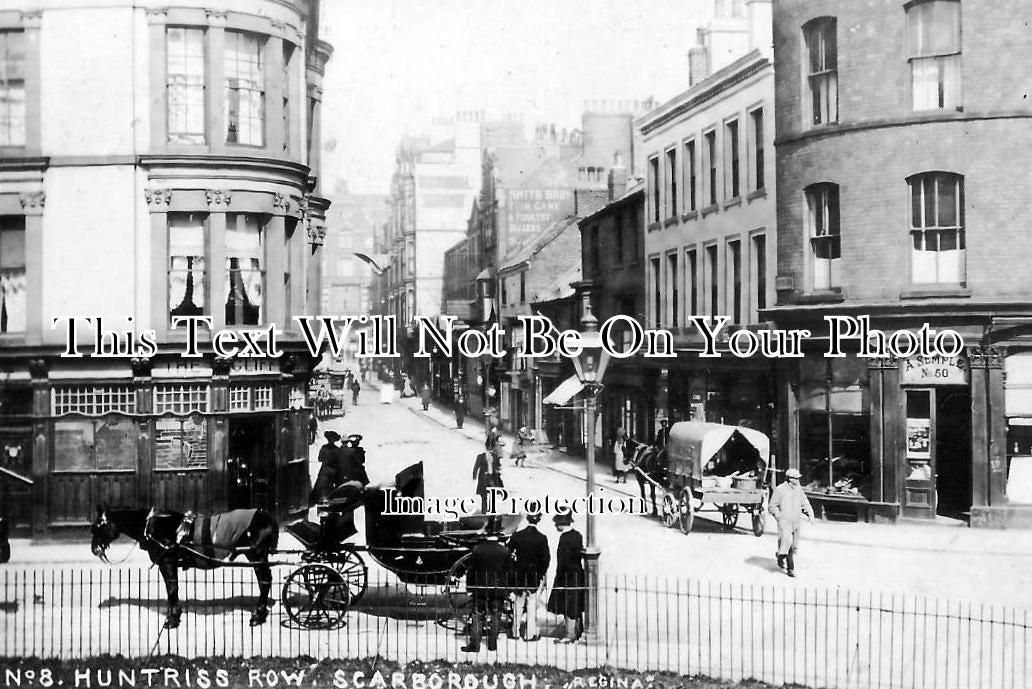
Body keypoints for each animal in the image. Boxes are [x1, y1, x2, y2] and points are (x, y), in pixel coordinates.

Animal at [89, 505, 278, 631]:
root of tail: (267, 517)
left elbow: (172, 588)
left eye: (97, 527)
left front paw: (172, 619)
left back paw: (258, 615)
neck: (152, 526)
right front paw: (176, 614)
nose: (94, 549)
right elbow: (173, 588)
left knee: (264, 582)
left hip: (256, 556)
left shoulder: (167, 562)